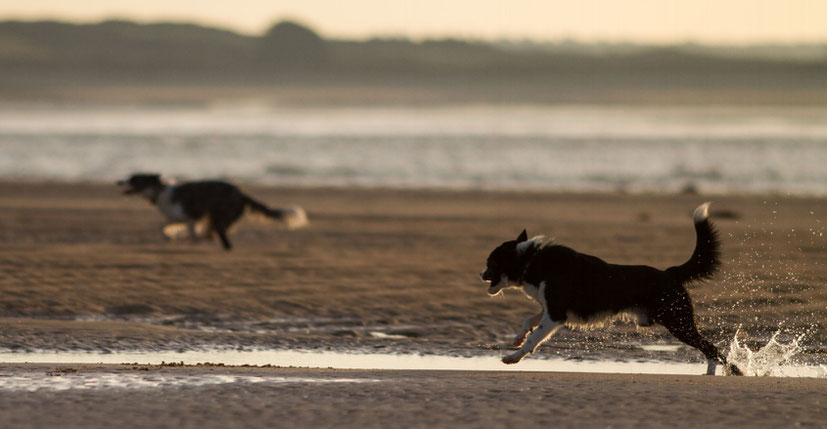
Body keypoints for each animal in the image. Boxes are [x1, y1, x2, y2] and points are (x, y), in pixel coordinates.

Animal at [118, 172, 308, 249]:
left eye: (133, 179)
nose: (118, 181)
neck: (160, 191)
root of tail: (242, 194)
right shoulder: (179, 217)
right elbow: (163, 226)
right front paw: (171, 236)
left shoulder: (193, 214)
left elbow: (192, 230)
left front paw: (189, 238)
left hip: (219, 216)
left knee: (223, 239)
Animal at [478, 203, 744, 374]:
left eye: (490, 262)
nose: (480, 274)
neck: (532, 261)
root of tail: (669, 272)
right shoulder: (551, 309)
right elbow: (528, 322)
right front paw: (516, 338)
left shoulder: (555, 314)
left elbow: (534, 338)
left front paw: (513, 357)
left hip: (678, 322)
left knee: (711, 348)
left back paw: (717, 373)